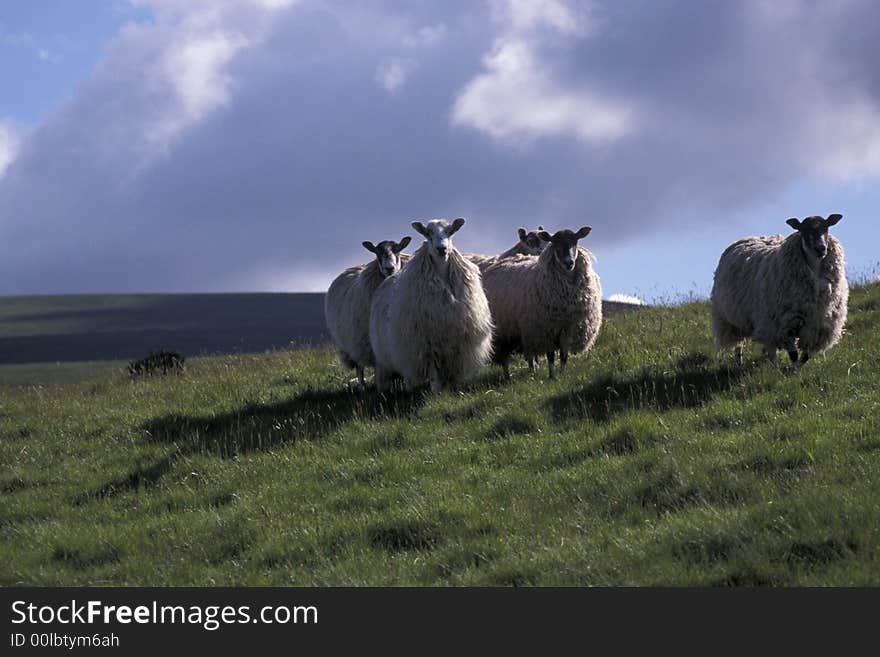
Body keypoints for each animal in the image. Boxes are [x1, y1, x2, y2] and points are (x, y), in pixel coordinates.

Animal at [326, 236, 412, 390]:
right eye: (377, 254)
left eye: (398, 250)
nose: (389, 268)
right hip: (354, 345)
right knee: (359, 368)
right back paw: (362, 387)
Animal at [368, 218, 496, 392]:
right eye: (428, 234)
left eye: (450, 232)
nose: (441, 249)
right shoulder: (426, 344)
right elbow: (434, 373)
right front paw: (436, 393)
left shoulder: (459, 343)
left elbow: (454, 374)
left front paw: (455, 390)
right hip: (392, 352)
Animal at [478, 227, 600, 376]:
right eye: (555, 244)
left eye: (575, 242)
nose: (569, 262)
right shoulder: (545, 329)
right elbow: (551, 356)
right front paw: (552, 376)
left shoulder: (568, 328)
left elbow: (564, 356)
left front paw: (562, 374)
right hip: (504, 332)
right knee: (504, 358)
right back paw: (508, 376)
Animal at [708, 215, 844, 368]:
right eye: (803, 230)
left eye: (826, 228)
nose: (820, 249)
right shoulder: (784, 325)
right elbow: (793, 354)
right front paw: (793, 370)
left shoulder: (817, 328)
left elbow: (805, 356)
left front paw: (797, 369)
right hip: (735, 319)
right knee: (742, 346)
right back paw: (747, 363)